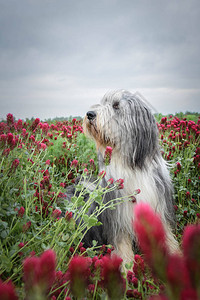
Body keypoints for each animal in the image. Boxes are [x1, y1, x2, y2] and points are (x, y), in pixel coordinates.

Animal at [79, 89, 178, 264]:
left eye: (116, 105)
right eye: (103, 102)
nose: (90, 114)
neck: (131, 165)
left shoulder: (159, 205)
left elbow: (168, 235)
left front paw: (177, 256)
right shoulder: (118, 217)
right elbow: (123, 247)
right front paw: (126, 268)